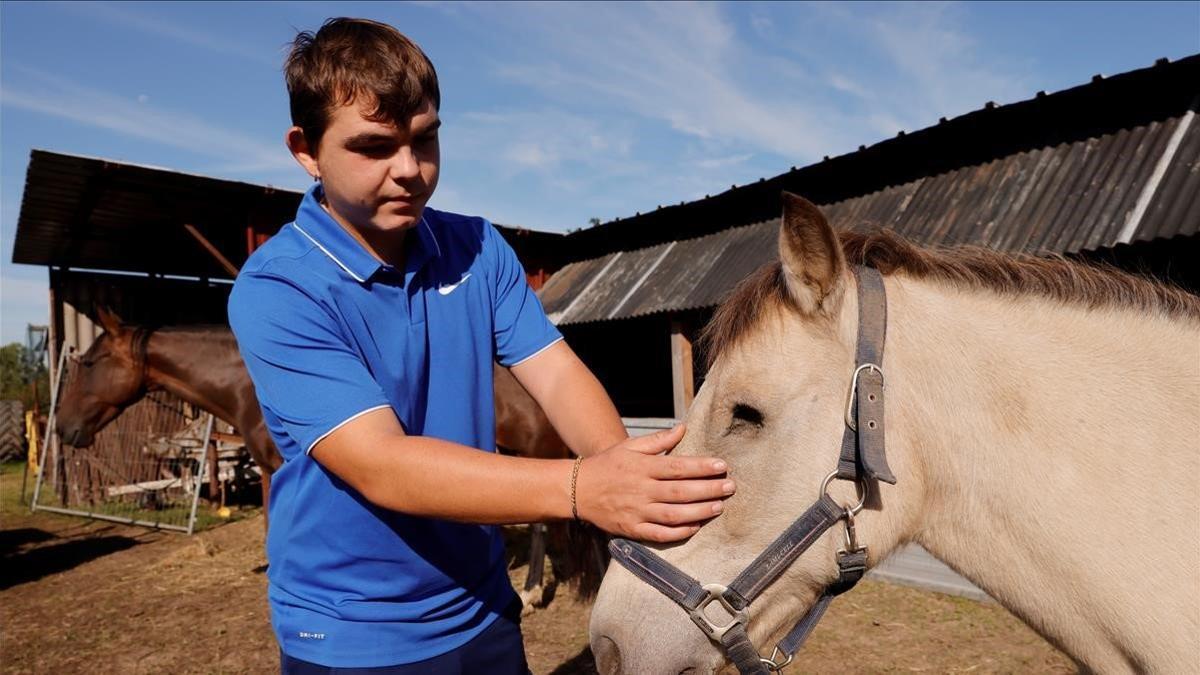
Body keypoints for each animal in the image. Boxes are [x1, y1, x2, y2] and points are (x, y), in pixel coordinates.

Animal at [56, 307, 609, 600]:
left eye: (90, 363)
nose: (64, 428)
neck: (252, 383)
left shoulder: (278, 469)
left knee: (542, 522)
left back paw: (534, 590)